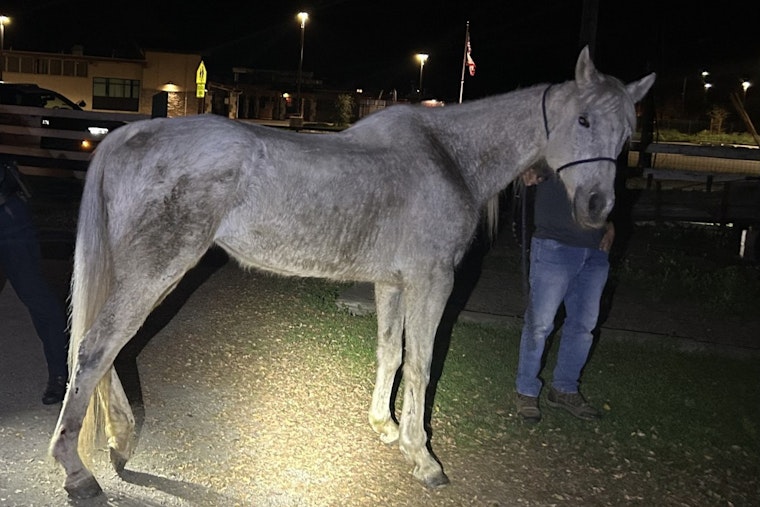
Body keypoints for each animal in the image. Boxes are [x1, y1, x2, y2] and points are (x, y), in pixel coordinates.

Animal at [50, 46, 654, 498]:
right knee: (98, 349)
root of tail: (127, 135)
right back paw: (78, 471)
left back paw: (120, 442)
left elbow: (390, 352)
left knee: (109, 351)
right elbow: (421, 365)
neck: (448, 157)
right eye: (583, 120)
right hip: (157, 272)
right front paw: (422, 456)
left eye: (627, 135)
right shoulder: (432, 282)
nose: (597, 209)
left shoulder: (391, 283)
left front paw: (385, 428)